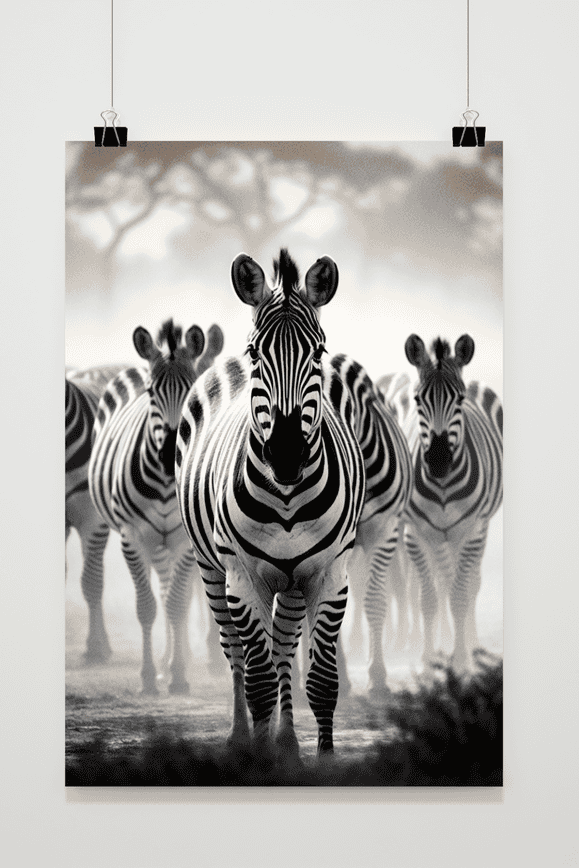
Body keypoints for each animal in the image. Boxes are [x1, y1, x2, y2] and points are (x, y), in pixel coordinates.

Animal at [89, 320, 224, 694]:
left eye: (192, 392)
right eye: (151, 392)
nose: (168, 456)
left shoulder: (187, 542)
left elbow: (176, 605)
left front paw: (178, 674)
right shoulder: (131, 537)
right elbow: (146, 607)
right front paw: (149, 677)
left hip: (168, 544)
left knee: (169, 594)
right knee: (157, 595)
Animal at [176, 250, 365, 759]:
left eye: (318, 352)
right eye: (257, 353)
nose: (285, 455)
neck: (286, 500)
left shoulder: (330, 574)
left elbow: (321, 680)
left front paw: (322, 757)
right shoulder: (242, 576)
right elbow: (257, 678)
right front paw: (257, 759)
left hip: (293, 581)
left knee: (282, 648)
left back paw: (287, 741)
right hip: (212, 568)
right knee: (237, 654)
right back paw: (244, 737)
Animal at [380, 335, 503, 672]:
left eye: (459, 400)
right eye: (418, 399)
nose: (437, 461)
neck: (443, 486)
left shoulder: (473, 531)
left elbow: (461, 595)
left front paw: (460, 661)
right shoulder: (416, 534)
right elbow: (429, 598)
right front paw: (428, 659)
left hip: (478, 528)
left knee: (471, 584)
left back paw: (472, 645)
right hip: (439, 537)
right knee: (444, 580)